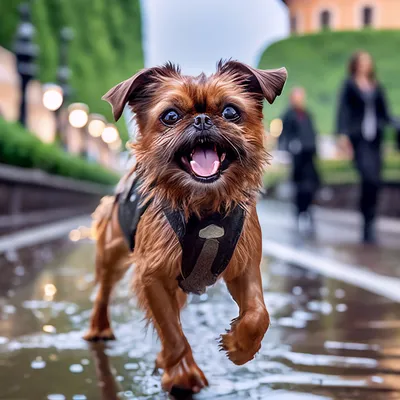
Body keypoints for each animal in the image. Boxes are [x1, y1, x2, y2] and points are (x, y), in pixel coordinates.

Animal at [84, 61, 286, 396]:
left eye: (230, 112)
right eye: (170, 116)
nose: (202, 119)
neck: (205, 208)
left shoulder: (245, 268)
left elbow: (259, 314)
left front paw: (239, 346)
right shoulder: (152, 276)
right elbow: (173, 333)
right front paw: (182, 374)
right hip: (111, 253)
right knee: (104, 291)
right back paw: (99, 328)